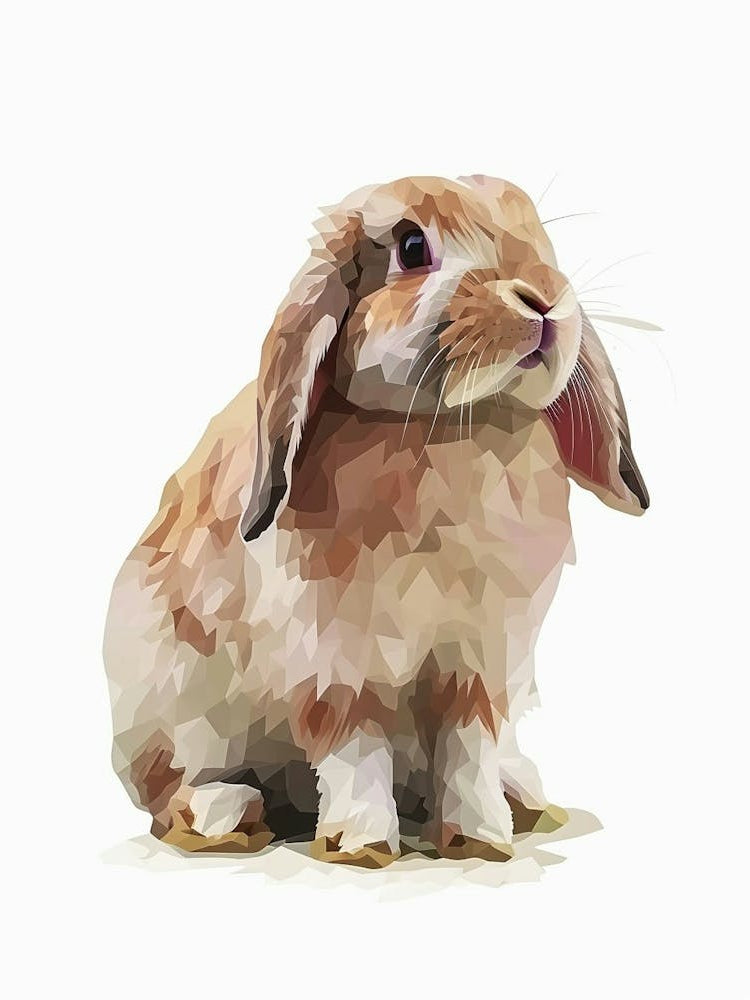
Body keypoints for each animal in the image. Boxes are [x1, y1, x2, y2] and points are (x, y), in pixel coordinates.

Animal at [103, 175, 648, 866]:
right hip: (172, 705)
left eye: (534, 228)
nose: (545, 301)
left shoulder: (481, 658)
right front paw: (362, 845)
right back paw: (226, 814)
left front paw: (481, 840)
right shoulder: (333, 660)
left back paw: (520, 798)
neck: (448, 431)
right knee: (169, 787)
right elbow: (353, 742)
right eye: (412, 247)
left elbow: (468, 746)